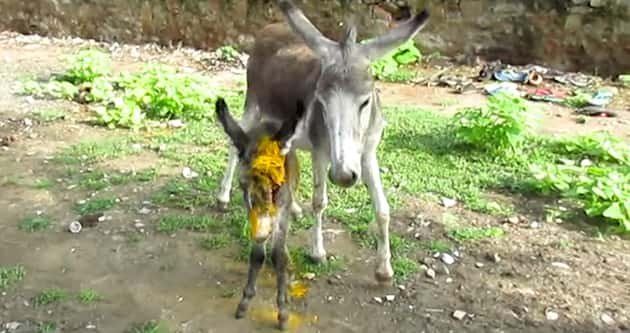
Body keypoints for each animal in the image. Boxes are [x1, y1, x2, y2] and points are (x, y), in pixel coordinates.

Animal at [216, 96, 308, 330]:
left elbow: (278, 256)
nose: (261, 234)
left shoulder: (281, 208)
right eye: (244, 184)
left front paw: (283, 312)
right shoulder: (251, 208)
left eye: (276, 185)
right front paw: (245, 302)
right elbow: (258, 256)